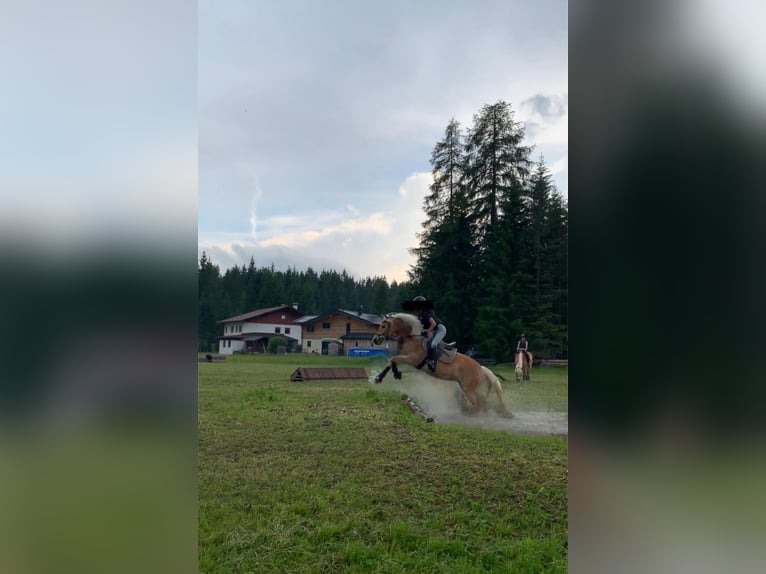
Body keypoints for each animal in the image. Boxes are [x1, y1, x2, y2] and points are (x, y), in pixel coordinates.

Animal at [374, 316, 512, 418]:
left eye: (383, 326)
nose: (375, 339)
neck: (411, 338)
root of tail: (480, 368)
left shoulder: (411, 359)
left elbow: (393, 360)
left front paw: (396, 374)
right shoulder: (406, 357)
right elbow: (390, 362)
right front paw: (379, 378)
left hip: (469, 390)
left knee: (479, 405)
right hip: (468, 388)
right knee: (483, 403)